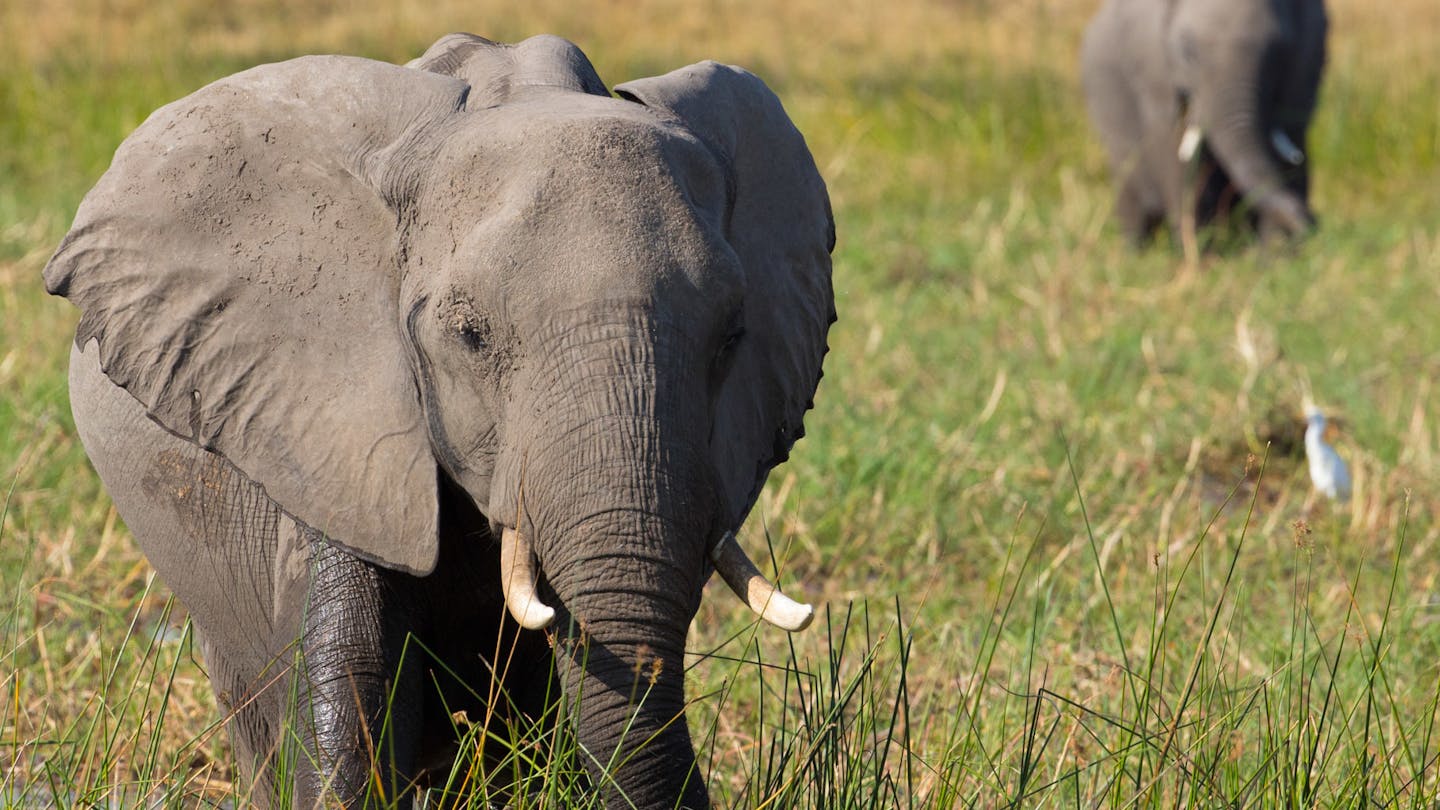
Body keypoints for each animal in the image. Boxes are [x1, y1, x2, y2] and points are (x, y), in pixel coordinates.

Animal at [1082, 0, 1324, 242]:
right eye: (1188, 52)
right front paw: (1199, 248)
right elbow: (1180, 161)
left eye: (1279, 51)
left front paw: (1277, 249)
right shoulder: (1156, 76)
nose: (1313, 219)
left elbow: (1290, 147)